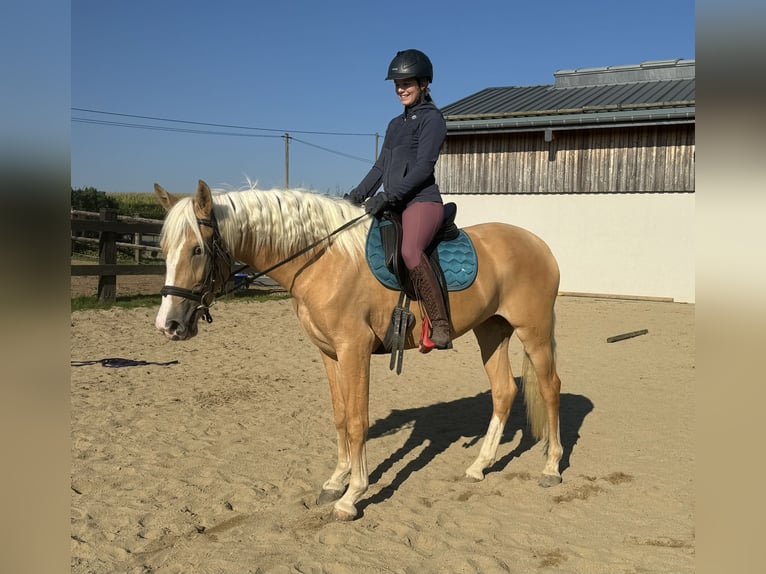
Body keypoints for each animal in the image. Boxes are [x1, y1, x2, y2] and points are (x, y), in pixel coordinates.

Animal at [154, 180, 564, 520]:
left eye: (196, 249)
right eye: (164, 250)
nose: (168, 325)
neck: (322, 259)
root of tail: (539, 244)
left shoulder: (355, 350)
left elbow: (356, 421)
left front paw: (352, 496)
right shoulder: (329, 353)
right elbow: (339, 417)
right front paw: (336, 481)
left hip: (534, 332)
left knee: (550, 388)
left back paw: (551, 467)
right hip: (491, 331)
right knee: (504, 391)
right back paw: (479, 466)